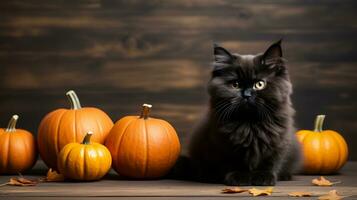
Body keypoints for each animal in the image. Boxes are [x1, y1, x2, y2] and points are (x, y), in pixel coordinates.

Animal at [170, 40, 300, 186]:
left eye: (259, 84)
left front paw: (263, 177)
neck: (249, 124)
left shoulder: (279, 141)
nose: (247, 95)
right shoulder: (224, 144)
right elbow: (234, 162)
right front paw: (239, 177)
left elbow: (270, 161)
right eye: (236, 84)